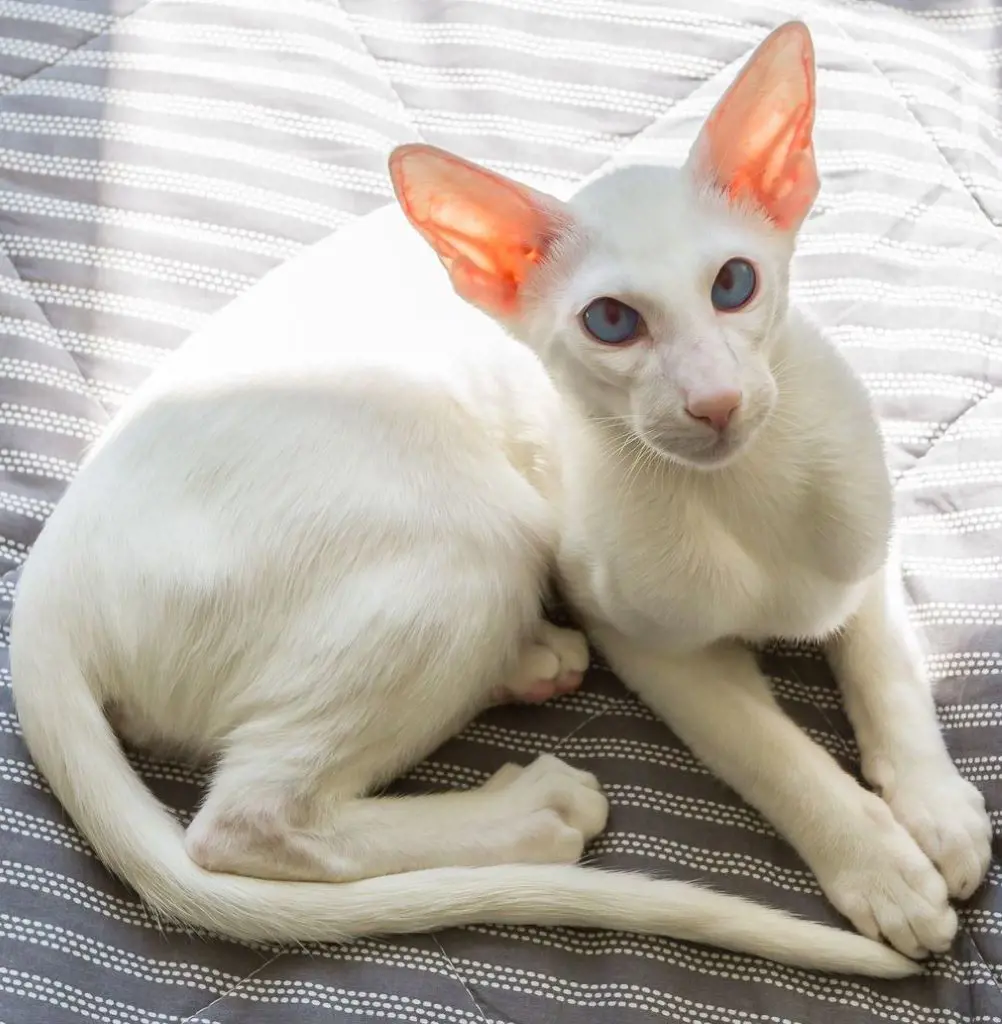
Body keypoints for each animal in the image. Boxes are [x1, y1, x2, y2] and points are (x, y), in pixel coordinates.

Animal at [7, 19, 970, 974]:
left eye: (734, 284)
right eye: (613, 322)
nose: (716, 403)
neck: (748, 493)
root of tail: (45, 583)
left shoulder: (868, 547)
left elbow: (889, 670)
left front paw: (937, 812)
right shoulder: (647, 641)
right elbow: (774, 753)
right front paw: (881, 866)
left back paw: (532, 663)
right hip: (477, 530)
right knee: (246, 819)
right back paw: (531, 810)